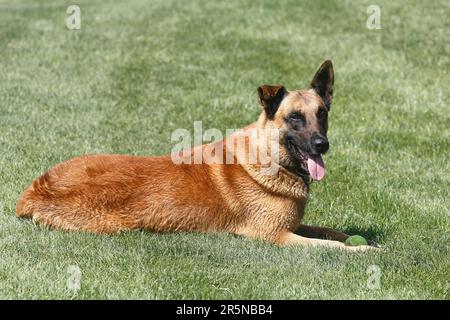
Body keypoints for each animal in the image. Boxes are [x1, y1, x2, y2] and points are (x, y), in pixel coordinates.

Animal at [15, 60, 376, 250]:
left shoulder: (295, 227)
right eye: (295, 118)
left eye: (322, 114)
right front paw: (364, 250)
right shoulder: (275, 235)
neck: (268, 158)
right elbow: (333, 246)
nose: (322, 145)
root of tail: (36, 189)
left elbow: (332, 232)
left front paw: (360, 239)